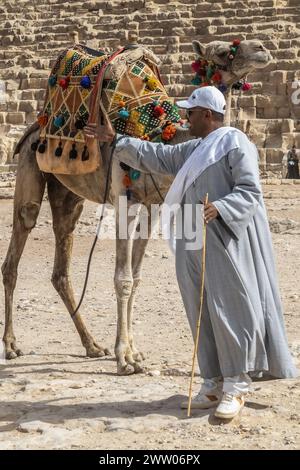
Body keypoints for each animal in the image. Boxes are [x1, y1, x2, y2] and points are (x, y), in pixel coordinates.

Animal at [1, 37, 272, 374]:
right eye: (224, 52)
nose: (262, 49)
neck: (162, 134)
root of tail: (36, 125)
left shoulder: (152, 207)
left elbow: (138, 276)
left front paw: (134, 352)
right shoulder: (124, 200)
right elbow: (123, 278)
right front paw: (124, 358)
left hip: (68, 194)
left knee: (61, 263)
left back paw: (92, 345)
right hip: (29, 165)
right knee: (16, 247)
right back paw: (12, 345)